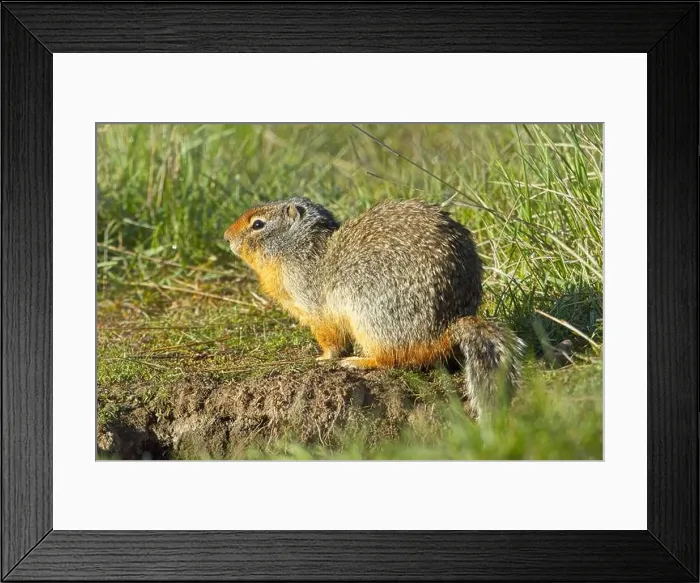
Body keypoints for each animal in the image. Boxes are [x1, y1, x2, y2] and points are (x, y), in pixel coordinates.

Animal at [224, 197, 525, 420]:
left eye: (258, 224)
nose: (226, 236)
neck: (297, 248)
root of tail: (445, 327)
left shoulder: (314, 305)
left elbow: (330, 336)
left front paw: (323, 357)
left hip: (371, 318)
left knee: (392, 359)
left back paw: (359, 361)